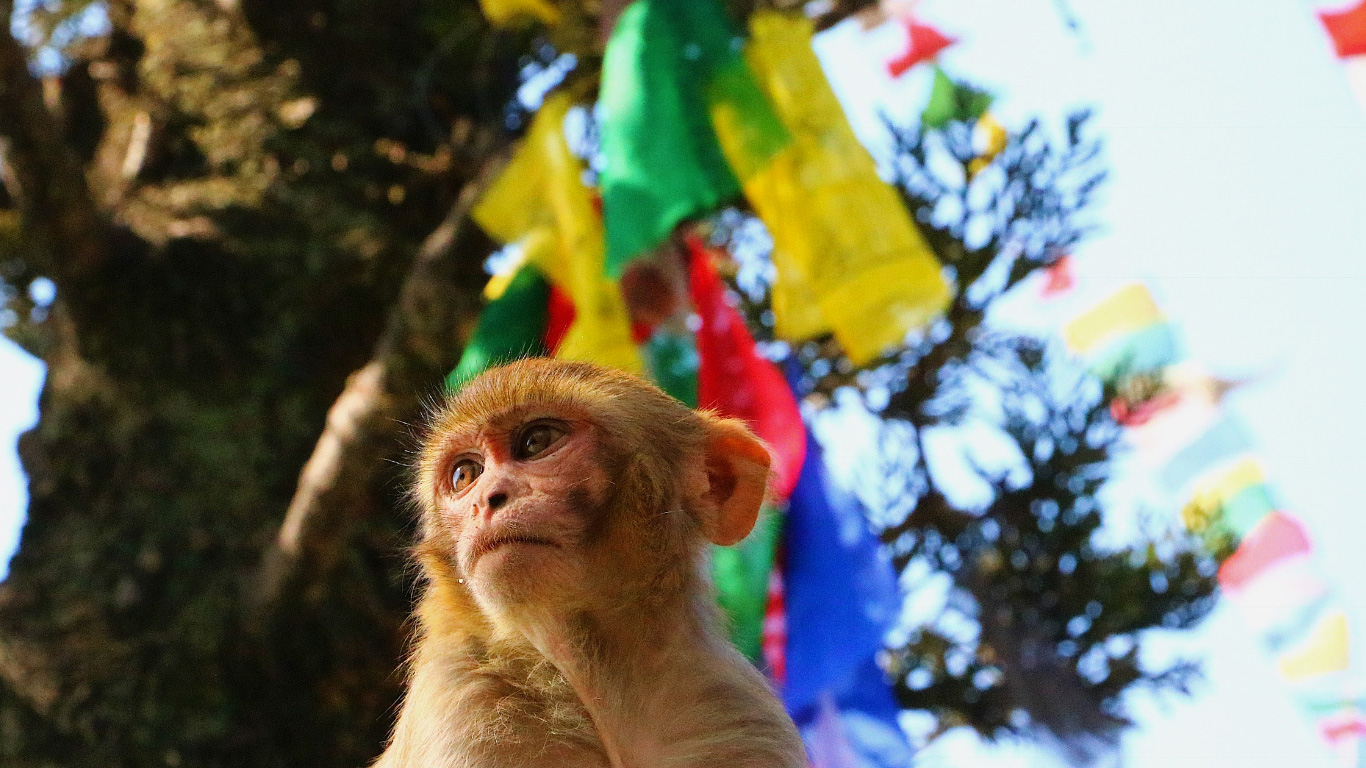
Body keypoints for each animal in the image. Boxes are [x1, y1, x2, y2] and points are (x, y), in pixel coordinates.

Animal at [374, 358, 803, 765]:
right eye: (465, 475)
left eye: (536, 442)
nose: (487, 499)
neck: (601, 675)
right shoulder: (464, 701)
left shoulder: (740, 715)